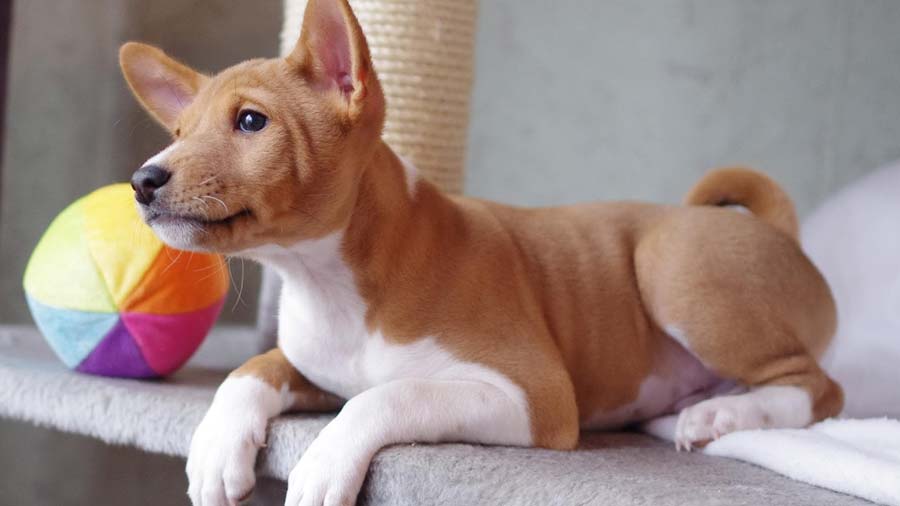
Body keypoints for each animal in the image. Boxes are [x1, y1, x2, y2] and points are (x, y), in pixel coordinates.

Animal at [119, 1, 844, 504]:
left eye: (250, 122)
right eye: (178, 132)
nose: (142, 180)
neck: (328, 283)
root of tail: (779, 232)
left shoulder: (535, 394)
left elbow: (386, 397)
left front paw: (323, 463)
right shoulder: (311, 362)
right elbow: (252, 370)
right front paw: (216, 447)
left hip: (673, 268)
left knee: (818, 389)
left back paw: (725, 413)